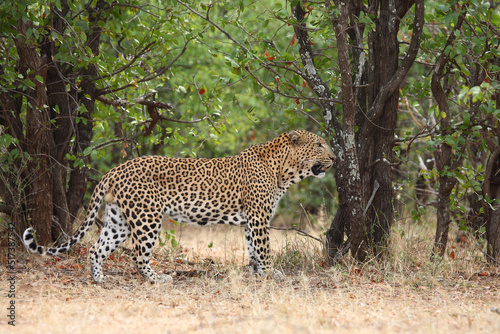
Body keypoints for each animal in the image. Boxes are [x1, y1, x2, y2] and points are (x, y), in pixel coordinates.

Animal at [23, 129, 336, 284]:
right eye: (320, 145)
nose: (335, 157)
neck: (285, 170)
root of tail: (115, 170)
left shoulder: (251, 219)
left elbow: (253, 249)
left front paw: (258, 273)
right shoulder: (259, 217)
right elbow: (265, 249)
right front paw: (271, 274)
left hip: (118, 220)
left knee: (96, 248)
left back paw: (99, 280)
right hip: (147, 217)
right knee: (138, 254)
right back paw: (157, 279)